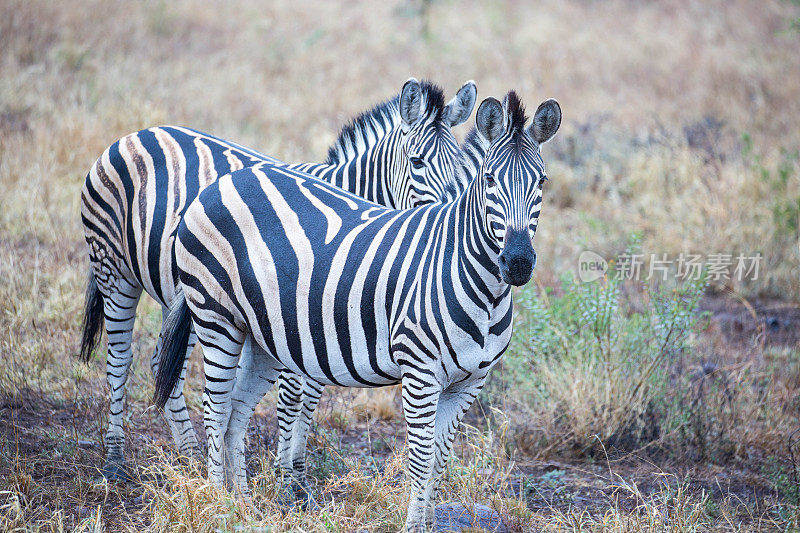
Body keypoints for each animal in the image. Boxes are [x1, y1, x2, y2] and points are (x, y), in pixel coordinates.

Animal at [78, 78, 478, 478]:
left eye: (460, 168)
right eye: (417, 161)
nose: (442, 219)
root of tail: (137, 134)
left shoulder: (326, 327)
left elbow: (312, 397)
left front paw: (298, 473)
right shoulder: (294, 318)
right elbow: (292, 397)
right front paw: (284, 476)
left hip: (182, 297)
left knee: (161, 361)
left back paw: (189, 453)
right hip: (114, 270)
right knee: (119, 358)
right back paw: (115, 458)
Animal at [153, 92, 560, 532]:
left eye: (542, 182)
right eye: (488, 180)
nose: (517, 263)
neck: (481, 287)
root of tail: (220, 183)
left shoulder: (470, 383)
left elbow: (439, 463)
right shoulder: (420, 374)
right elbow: (420, 462)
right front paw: (412, 528)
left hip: (263, 335)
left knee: (236, 414)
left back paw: (243, 505)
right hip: (217, 317)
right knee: (215, 408)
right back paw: (219, 506)